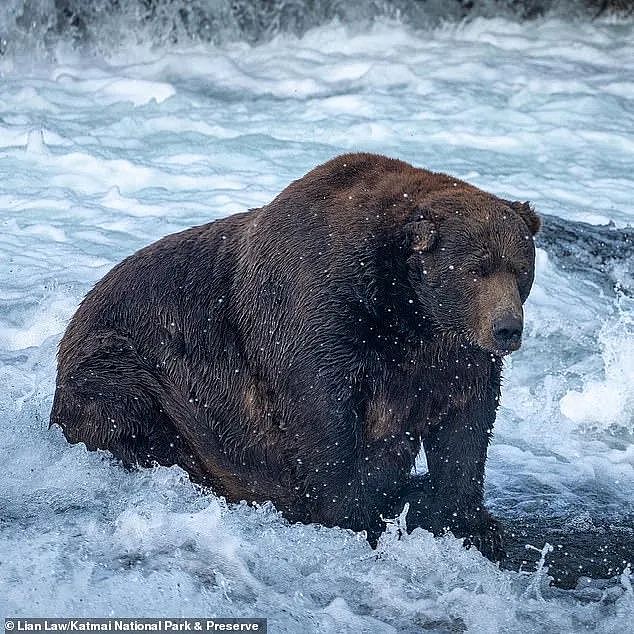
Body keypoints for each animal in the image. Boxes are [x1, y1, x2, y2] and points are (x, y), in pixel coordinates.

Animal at [50, 152, 540, 556]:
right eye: (475, 269)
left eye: (520, 269)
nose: (507, 329)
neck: (405, 313)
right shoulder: (321, 312)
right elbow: (322, 417)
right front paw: (353, 512)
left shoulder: (451, 354)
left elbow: (466, 424)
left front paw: (471, 523)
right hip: (131, 361)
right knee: (127, 408)